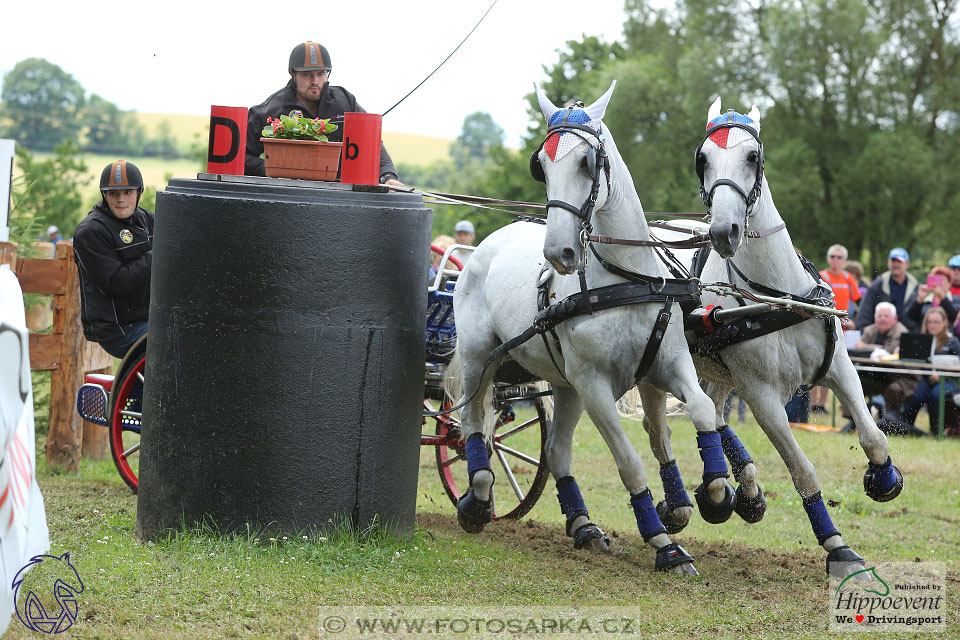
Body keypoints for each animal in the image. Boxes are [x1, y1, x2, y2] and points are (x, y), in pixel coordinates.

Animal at [446, 80, 740, 576]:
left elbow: (701, 410)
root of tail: (484, 247)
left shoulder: (667, 365)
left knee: (555, 451)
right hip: (478, 359)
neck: (625, 278)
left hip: (564, 386)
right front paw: (665, 546)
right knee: (473, 423)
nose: (559, 252)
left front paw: (716, 491)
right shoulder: (596, 386)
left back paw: (582, 525)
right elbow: (630, 463)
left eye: (587, 161)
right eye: (542, 165)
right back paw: (477, 499)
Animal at [644, 97, 900, 576]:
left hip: (716, 370)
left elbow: (873, 436)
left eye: (752, 156)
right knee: (663, 428)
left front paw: (884, 478)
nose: (723, 231)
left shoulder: (840, 368)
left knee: (713, 410)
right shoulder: (762, 396)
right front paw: (837, 547)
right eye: (703, 159)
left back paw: (734, 492)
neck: (774, 297)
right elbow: (802, 469)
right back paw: (687, 501)